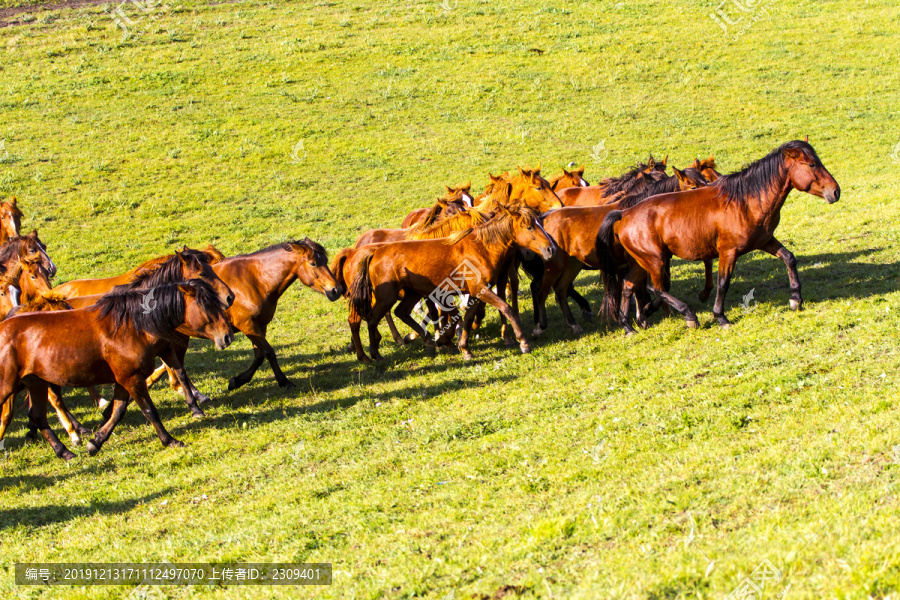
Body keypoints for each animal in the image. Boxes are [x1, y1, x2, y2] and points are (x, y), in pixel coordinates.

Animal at [0, 280, 232, 460]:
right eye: (206, 306)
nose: (227, 336)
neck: (131, 327)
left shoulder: (124, 379)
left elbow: (118, 411)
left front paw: (95, 442)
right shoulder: (132, 379)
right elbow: (150, 411)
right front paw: (170, 440)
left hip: (36, 383)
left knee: (38, 416)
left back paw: (64, 452)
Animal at [600, 143, 840, 336]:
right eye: (811, 165)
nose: (835, 192)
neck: (744, 201)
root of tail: (624, 214)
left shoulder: (765, 241)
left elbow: (789, 258)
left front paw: (795, 299)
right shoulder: (728, 252)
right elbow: (723, 283)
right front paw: (721, 317)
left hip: (642, 261)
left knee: (629, 285)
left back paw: (629, 326)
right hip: (655, 260)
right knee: (656, 288)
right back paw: (688, 316)